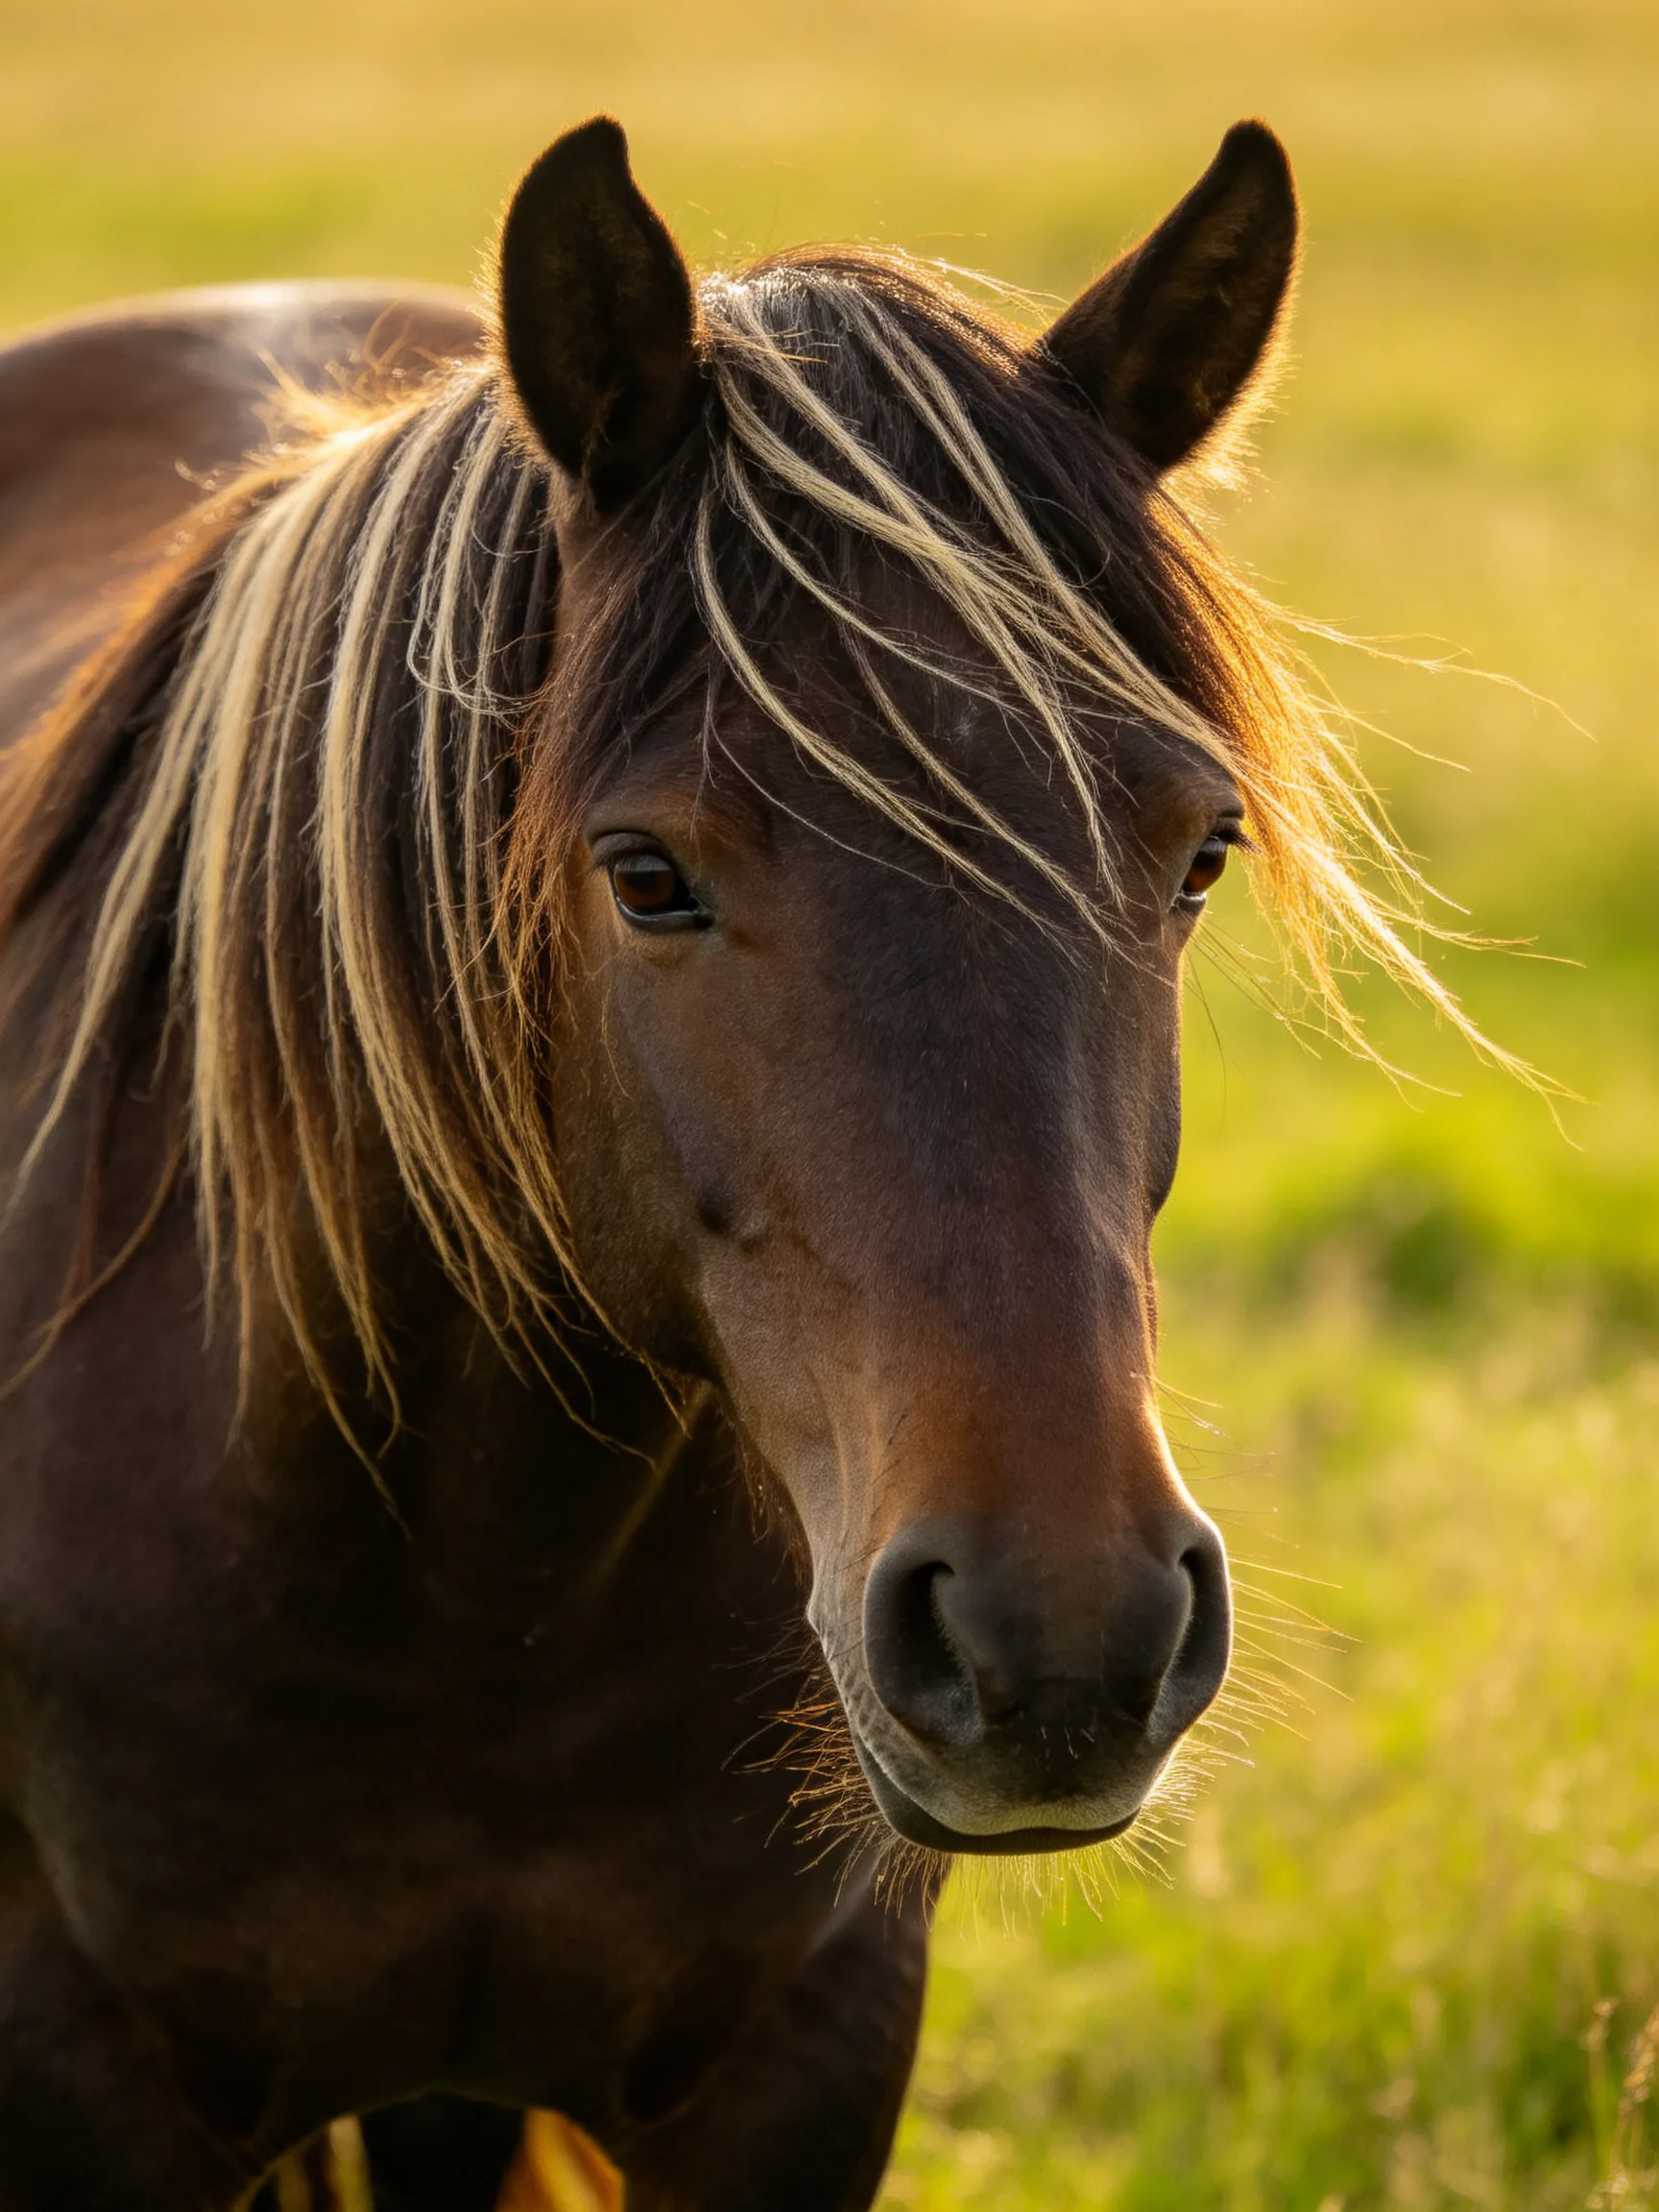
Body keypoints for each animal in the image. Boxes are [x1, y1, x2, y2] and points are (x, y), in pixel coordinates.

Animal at [0, 112, 1438, 2209]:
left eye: (1196, 853)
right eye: (646, 874)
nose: (1060, 1639)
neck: (466, 1580)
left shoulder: (799, 2065)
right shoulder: (80, 2080)